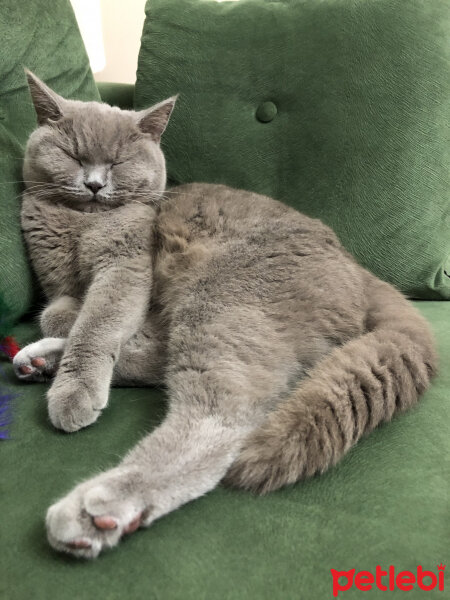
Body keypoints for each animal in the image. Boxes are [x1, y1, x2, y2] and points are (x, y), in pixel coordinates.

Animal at [13, 71, 436, 556]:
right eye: (73, 156)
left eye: (118, 162)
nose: (95, 185)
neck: (80, 225)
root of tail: (360, 269)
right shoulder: (56, 278)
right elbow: (63, 313)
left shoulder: (127, 264)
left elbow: (96, 323)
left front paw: (76, 386)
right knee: (164, 361)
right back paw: (42, 361)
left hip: (221, 300)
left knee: (217, 422)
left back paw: (95, 510)